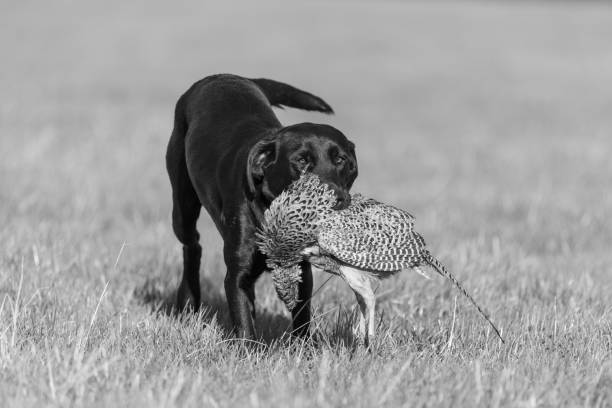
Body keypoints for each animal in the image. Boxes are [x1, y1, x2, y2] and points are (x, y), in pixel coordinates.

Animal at [167, 73, 358, 338]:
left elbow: (301, 315)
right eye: (301, 161)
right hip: (182, 205)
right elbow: (244, 323)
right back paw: (187, 302)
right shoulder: (237, 274)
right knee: (192, 246)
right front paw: (248, 346)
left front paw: (305, 346)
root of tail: (225, 76)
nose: (336, 199)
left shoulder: (301, 269)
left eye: (340, 159)